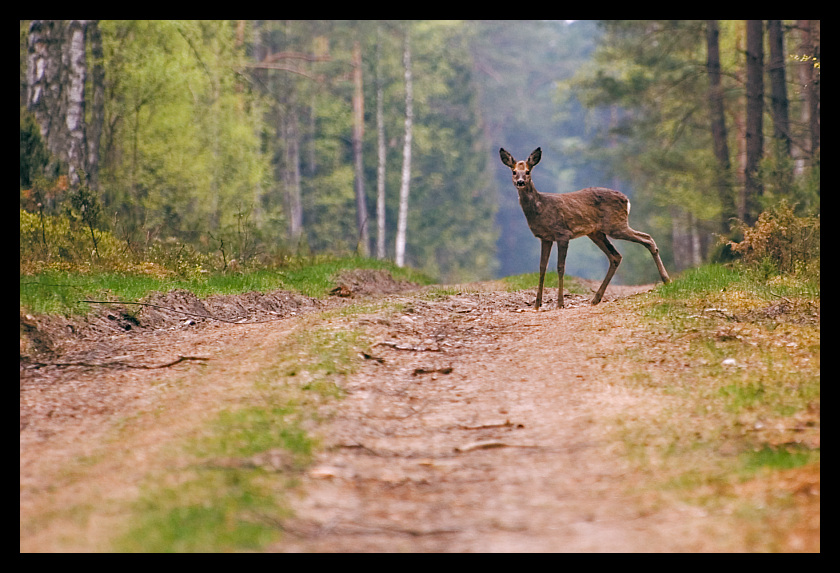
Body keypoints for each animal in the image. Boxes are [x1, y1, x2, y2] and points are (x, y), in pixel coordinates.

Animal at [498, 147, 668, 308]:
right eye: (514, 172)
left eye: (528, 171)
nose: (520, 182)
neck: (540, 208)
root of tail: (626, 199)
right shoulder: (545, 238)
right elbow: (542, 267)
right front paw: (537, 304)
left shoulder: (562, 233)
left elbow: (560, 267)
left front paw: (560, 303)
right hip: (596, 233)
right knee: (616, 256)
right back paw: (596, 299)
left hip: (616, 225)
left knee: (647, 239)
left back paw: (666, 279)